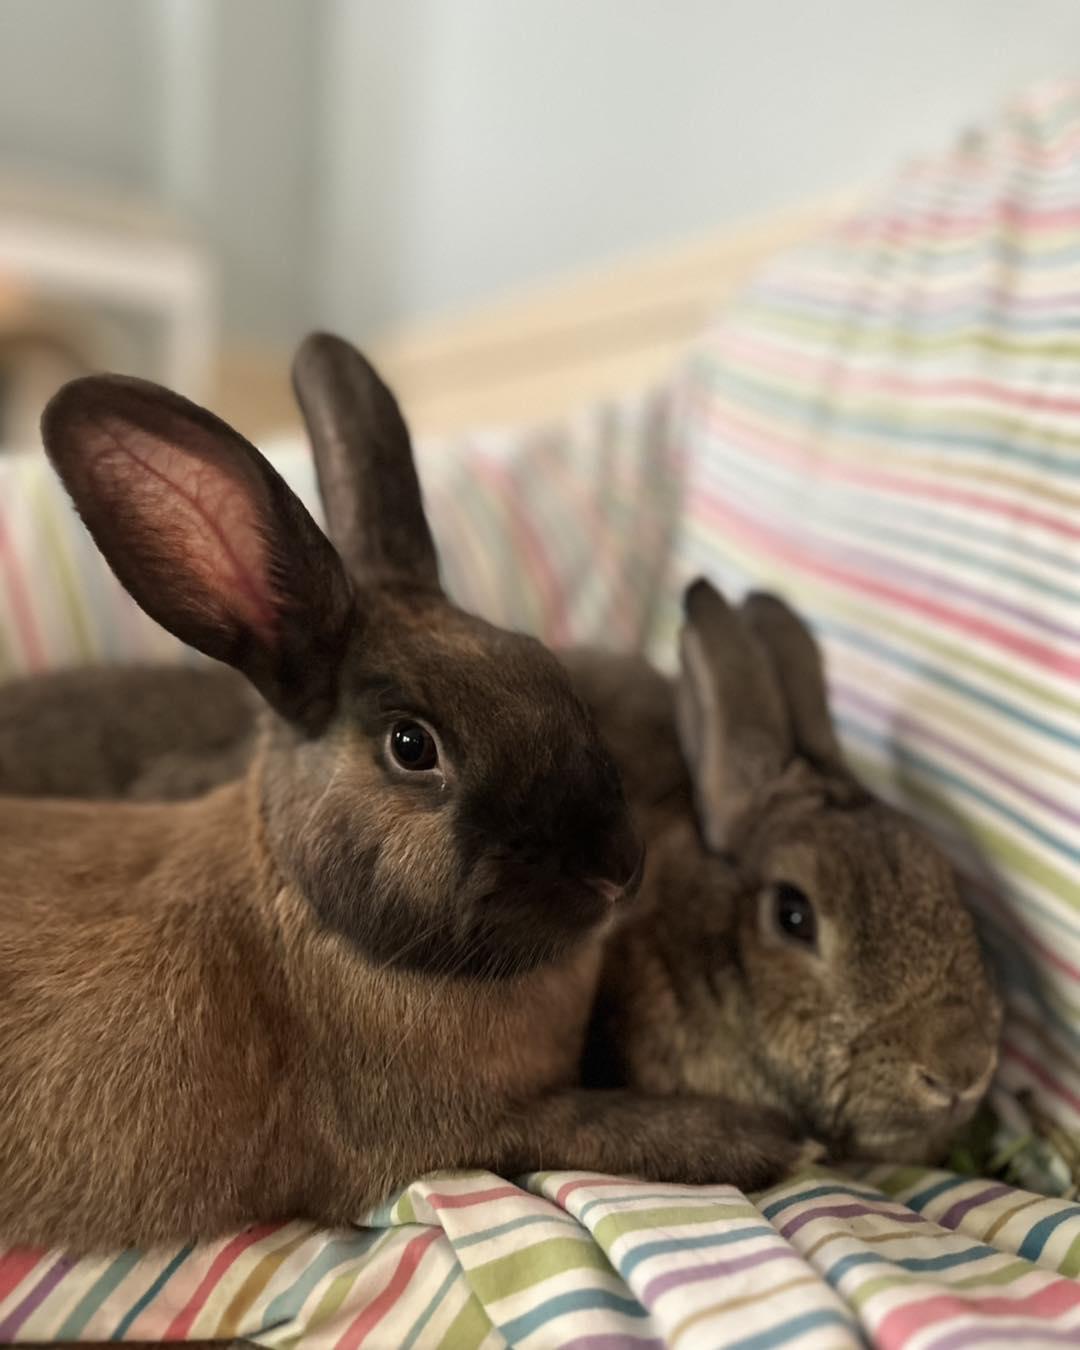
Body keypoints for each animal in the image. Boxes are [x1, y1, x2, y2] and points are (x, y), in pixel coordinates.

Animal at [0, 334, 814, 1255]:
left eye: (543, 663)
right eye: (411, 746)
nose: (615, 867)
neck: (317, 921)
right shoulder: (475, 1128)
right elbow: (602, 1127)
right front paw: (761, 1138)